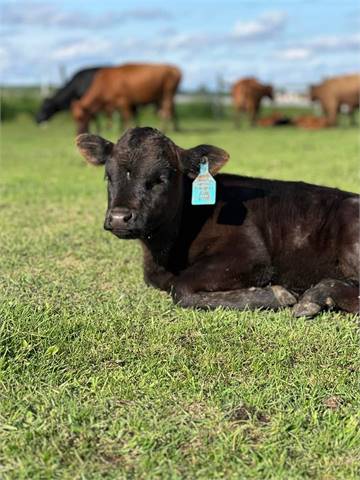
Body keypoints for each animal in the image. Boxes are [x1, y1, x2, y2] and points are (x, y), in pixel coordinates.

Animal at [75, 126, 358, 318]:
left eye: (161, 178)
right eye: (108, 176)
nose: (119, 217)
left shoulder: (249, 254)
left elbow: (182, 288)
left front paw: (275, 295)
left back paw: (314, 297)